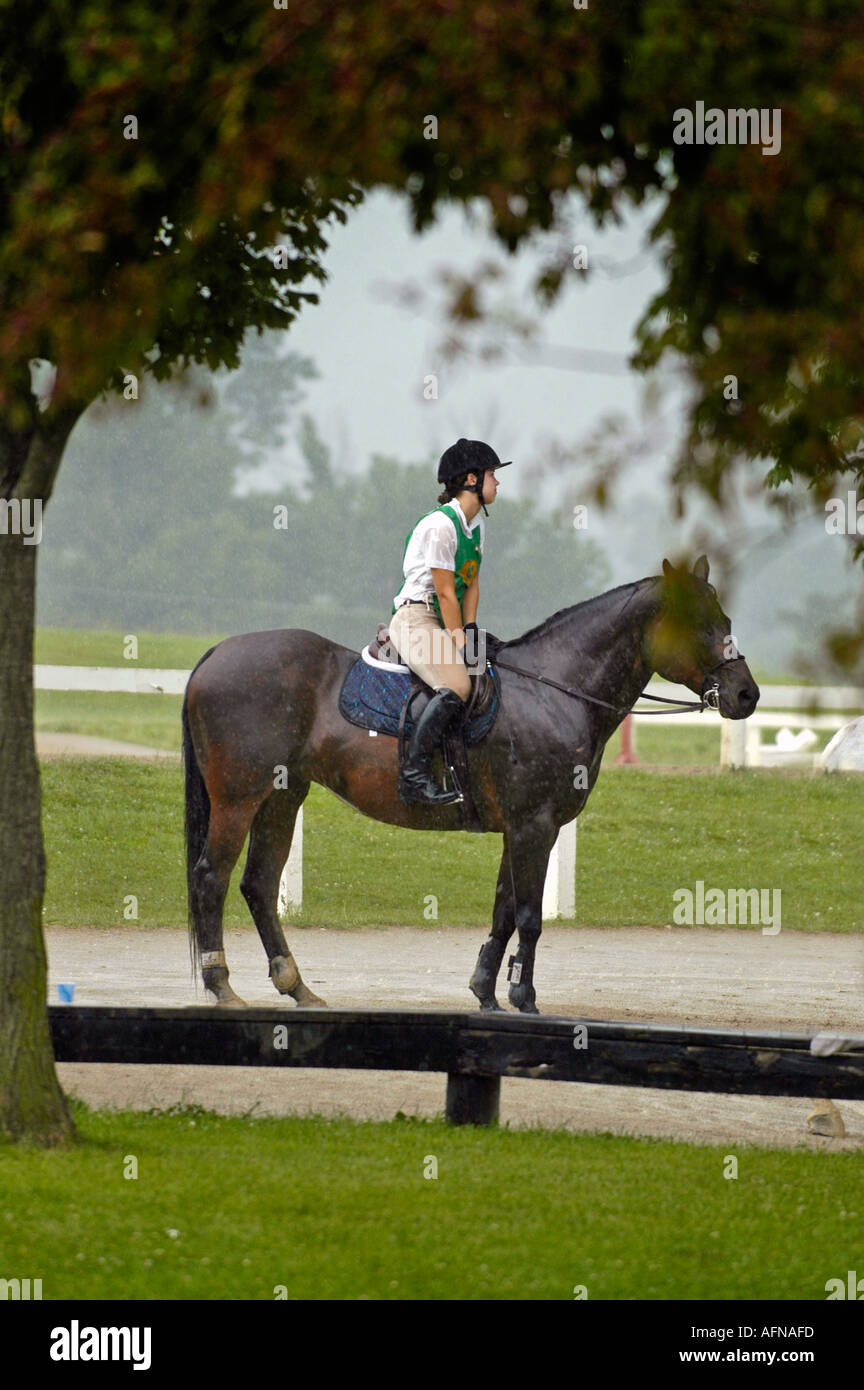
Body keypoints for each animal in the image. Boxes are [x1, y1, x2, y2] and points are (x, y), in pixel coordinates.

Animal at [182, 556, 760, 1013]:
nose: (746, 694)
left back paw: (296, 987)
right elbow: (529, 916)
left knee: (259, 884)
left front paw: (486, 992)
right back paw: (222, 986)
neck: (553, 690)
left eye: (727, 619)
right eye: (699, 624)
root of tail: (217, 652)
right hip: (239, 798)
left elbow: (503, 911)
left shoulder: (522, 829)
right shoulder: (534, 828)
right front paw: (524, 998)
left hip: (282, 797)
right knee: (212, 877)